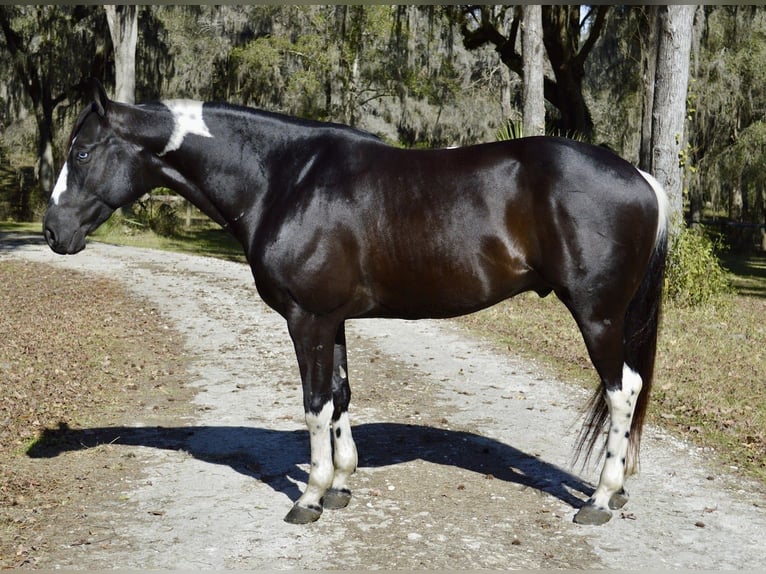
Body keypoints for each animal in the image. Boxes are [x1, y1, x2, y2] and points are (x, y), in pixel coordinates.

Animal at [43, 82, 668, 526]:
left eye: (83, 151)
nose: (52, 231)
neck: (284, 179)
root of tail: (641, 178)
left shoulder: (308, 320)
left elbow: (315, 404)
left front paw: (311, 497)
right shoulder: (333, 320)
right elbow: (341, 396)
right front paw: (342, 485)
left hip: (598, 317)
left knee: (623, 392)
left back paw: (599, 499)